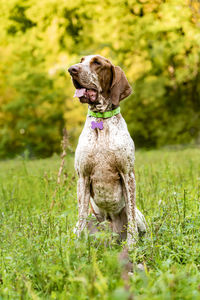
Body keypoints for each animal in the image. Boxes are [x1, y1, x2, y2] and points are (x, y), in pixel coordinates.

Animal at [68, 54, 146, 248]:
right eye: (81, 60)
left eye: (97, 63)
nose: (71, 69)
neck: (101, 121)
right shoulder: (82, 177)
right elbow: (81, 216)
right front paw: (78, 248)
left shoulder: (128, 175)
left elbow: (131, 217)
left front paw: (132, 247)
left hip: (140, 218)